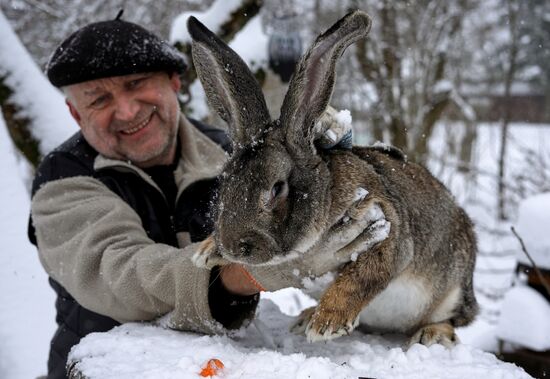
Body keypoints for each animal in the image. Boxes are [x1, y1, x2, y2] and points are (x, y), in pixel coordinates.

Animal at [189, 10, 478, 348]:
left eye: (277, 189)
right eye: (224, 184)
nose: (234, 247)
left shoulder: (384, 228)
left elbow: (362, 276)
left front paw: (327, 323)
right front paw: (205, 251)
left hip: (452, 290)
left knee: (454, 319)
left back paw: (431, 334)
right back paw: (304, 316)